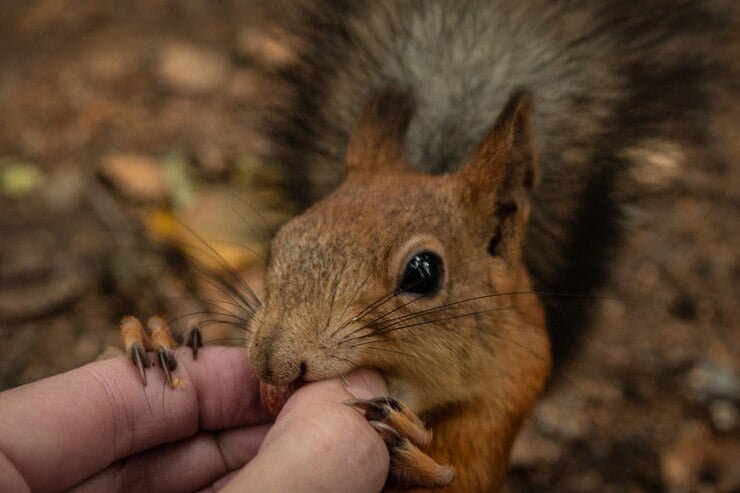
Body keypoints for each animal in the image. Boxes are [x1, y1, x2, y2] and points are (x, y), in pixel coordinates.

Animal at [121, 0, 736, 492]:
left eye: (423, 272)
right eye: (281, 241)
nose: (274, 364)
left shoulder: (502, 407)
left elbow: (458, 478)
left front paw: (416, 449)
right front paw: (152, 335)